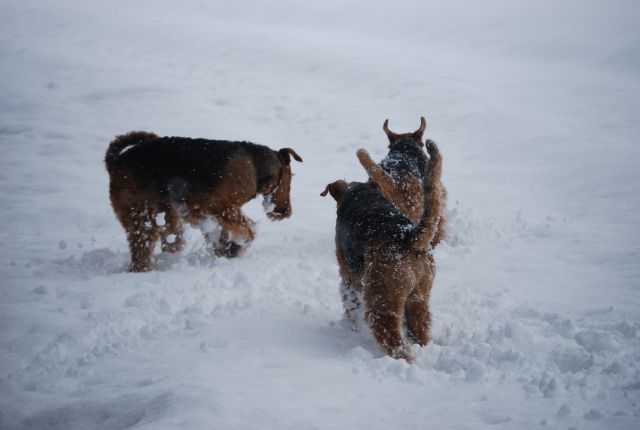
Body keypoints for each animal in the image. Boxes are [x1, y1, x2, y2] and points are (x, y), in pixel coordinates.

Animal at [105, 131, 302, 272]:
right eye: (291, 177)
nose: (286, 212)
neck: (255, 167)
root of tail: (115, 162)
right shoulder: (212, 205)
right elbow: (247, 229)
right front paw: (236, 246)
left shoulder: (204, 212)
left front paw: (227, 249)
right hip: (140, 218)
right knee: (140, 253)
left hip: (167, 218)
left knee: (169, 242)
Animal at [320, 139, 444, 362]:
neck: (361, 196)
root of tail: (408, 236)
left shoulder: (348, 274)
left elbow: (350, 303)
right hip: (419, 295)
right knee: (420, 330)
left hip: (382, 299)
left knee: (397, 345)